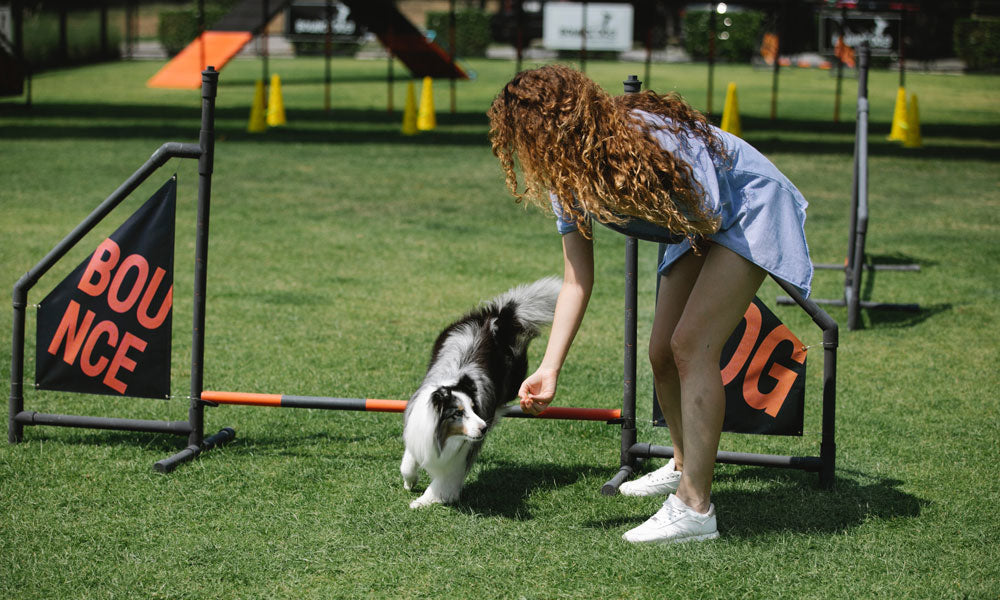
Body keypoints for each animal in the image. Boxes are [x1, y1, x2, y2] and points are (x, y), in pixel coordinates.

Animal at [404, 276, 564, 506]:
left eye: (474, 409)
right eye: (458, 413)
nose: (484, 428)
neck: (442, 436)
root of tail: (494, 318)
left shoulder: (461, 455)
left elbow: (443, 481)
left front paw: (423, 500)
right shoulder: (417, 430)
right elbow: (407, 462)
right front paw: (409, 482)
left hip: (513, 381)